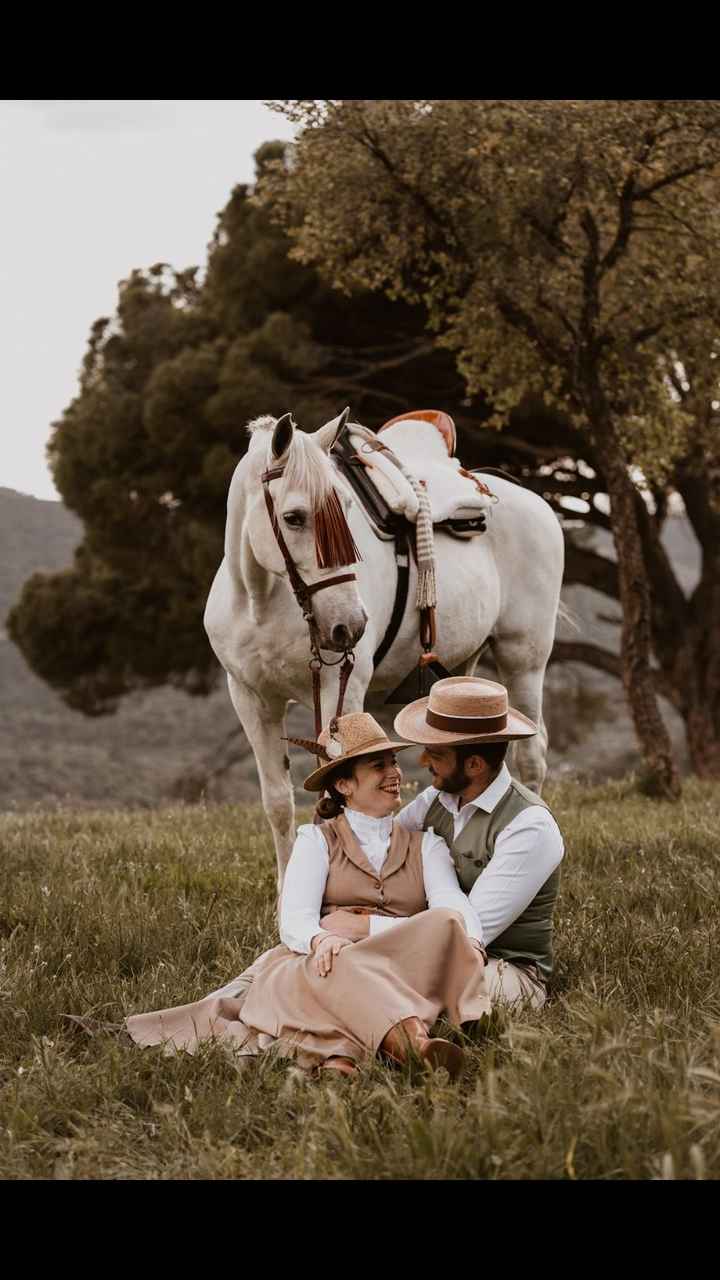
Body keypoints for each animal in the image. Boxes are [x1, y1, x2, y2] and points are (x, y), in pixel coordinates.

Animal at [204, 409, 563, 880]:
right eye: (294, 517)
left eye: (346, 508)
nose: (350, 625)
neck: (261, 601)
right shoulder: (250, 698)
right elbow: (278, 803)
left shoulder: (342, 690)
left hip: (524, 659)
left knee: (531, 757)